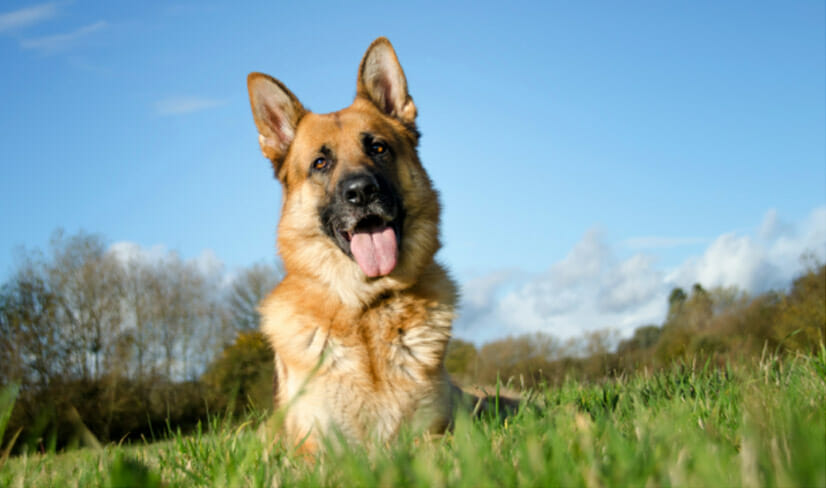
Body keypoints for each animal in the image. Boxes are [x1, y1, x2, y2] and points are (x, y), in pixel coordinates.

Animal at [246, 38, 464, 454]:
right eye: (320, 163)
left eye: (378, 148)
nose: (361, 192)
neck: (367, 308)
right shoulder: (313, 448)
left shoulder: (435, 435)